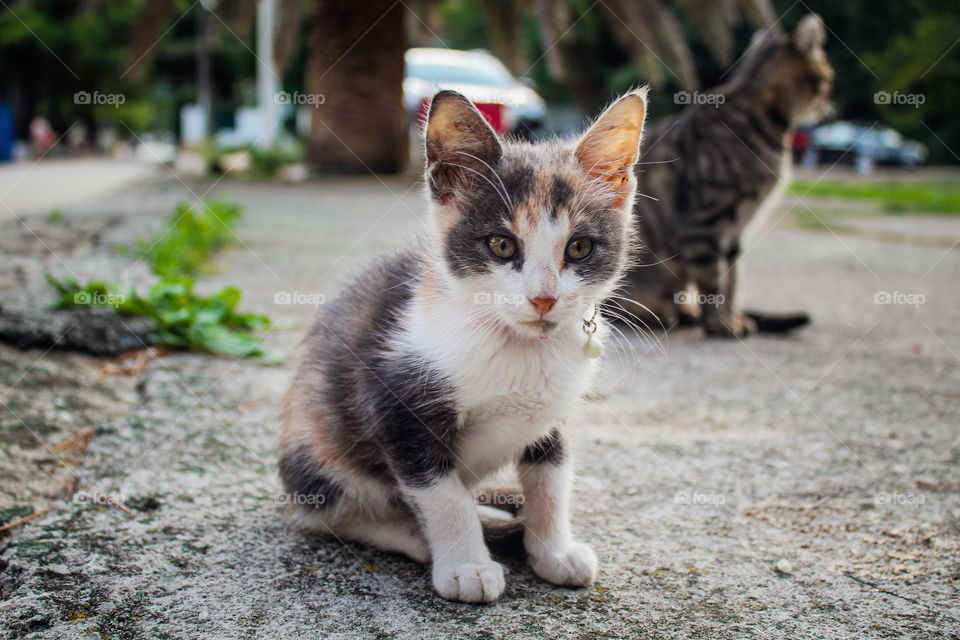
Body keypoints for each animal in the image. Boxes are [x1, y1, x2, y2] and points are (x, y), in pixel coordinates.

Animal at [282, 89, 648, 600]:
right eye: (501, 245)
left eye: (579, 248)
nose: (543, 298)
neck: (517, 345)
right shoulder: (395, 402)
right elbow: (441, 493)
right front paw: (466, 566)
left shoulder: (553, 411)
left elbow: (551, 478)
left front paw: (553, 551)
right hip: (316, 447)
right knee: (326, 513)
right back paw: (421, 532)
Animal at [624, 12, 832, 338]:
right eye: (829, 77)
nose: (829, 105)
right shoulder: (706, 222)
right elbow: (713, 278)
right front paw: (719, 322)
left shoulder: (735, 227)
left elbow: (731, 278)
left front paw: (729, 316)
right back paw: (653, 312)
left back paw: (683, 311)